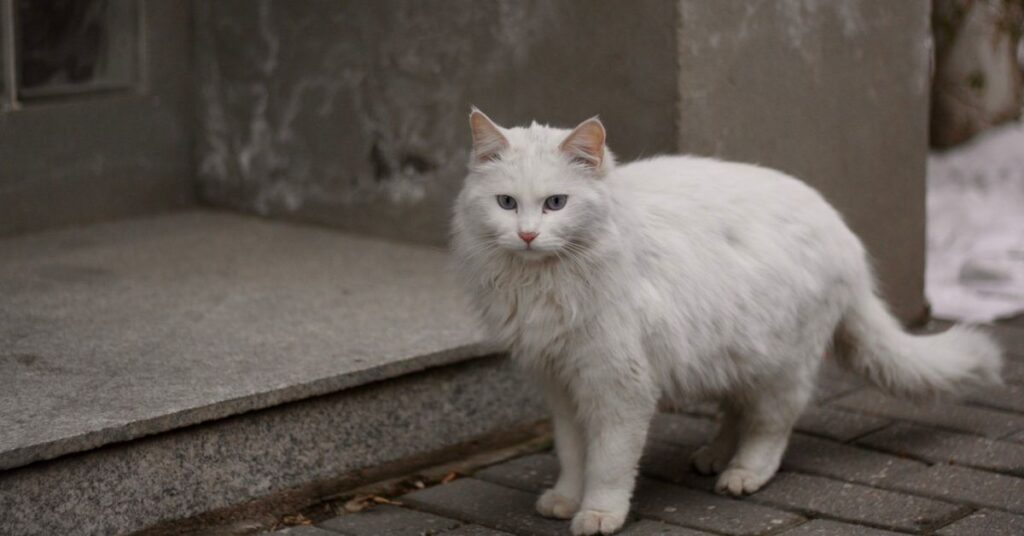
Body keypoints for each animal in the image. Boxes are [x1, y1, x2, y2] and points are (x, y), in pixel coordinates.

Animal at [452, 110, 1003, 536]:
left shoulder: (619, 386)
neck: (543, 282)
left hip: (782, 367)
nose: (527, 235)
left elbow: (608, 463)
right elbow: (572, 454)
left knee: (771, 426)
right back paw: (714, 455)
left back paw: (742, 473)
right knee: (737, 411)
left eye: (556, 203)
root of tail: (844, 235)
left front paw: (599, 513)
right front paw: (565, 499)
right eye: (506, 203)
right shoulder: (561, 383)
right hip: (730, 354)